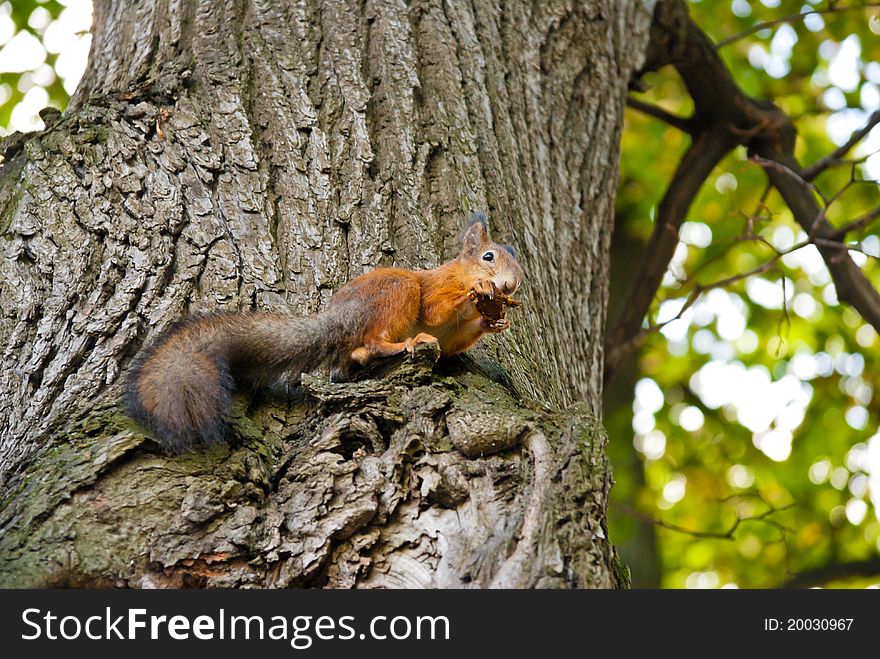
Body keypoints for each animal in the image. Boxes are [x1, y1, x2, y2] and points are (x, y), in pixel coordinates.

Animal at [124, 214, 524, 456]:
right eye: (489, 256)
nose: (510, 285)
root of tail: (340, 320)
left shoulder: (456, 332)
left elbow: (458, 340)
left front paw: (495, 322)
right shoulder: (435, 291)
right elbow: (436, 311)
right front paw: (480, 289)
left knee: (358, 353)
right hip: (400, 290)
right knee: (376, 338)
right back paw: (407, 342)